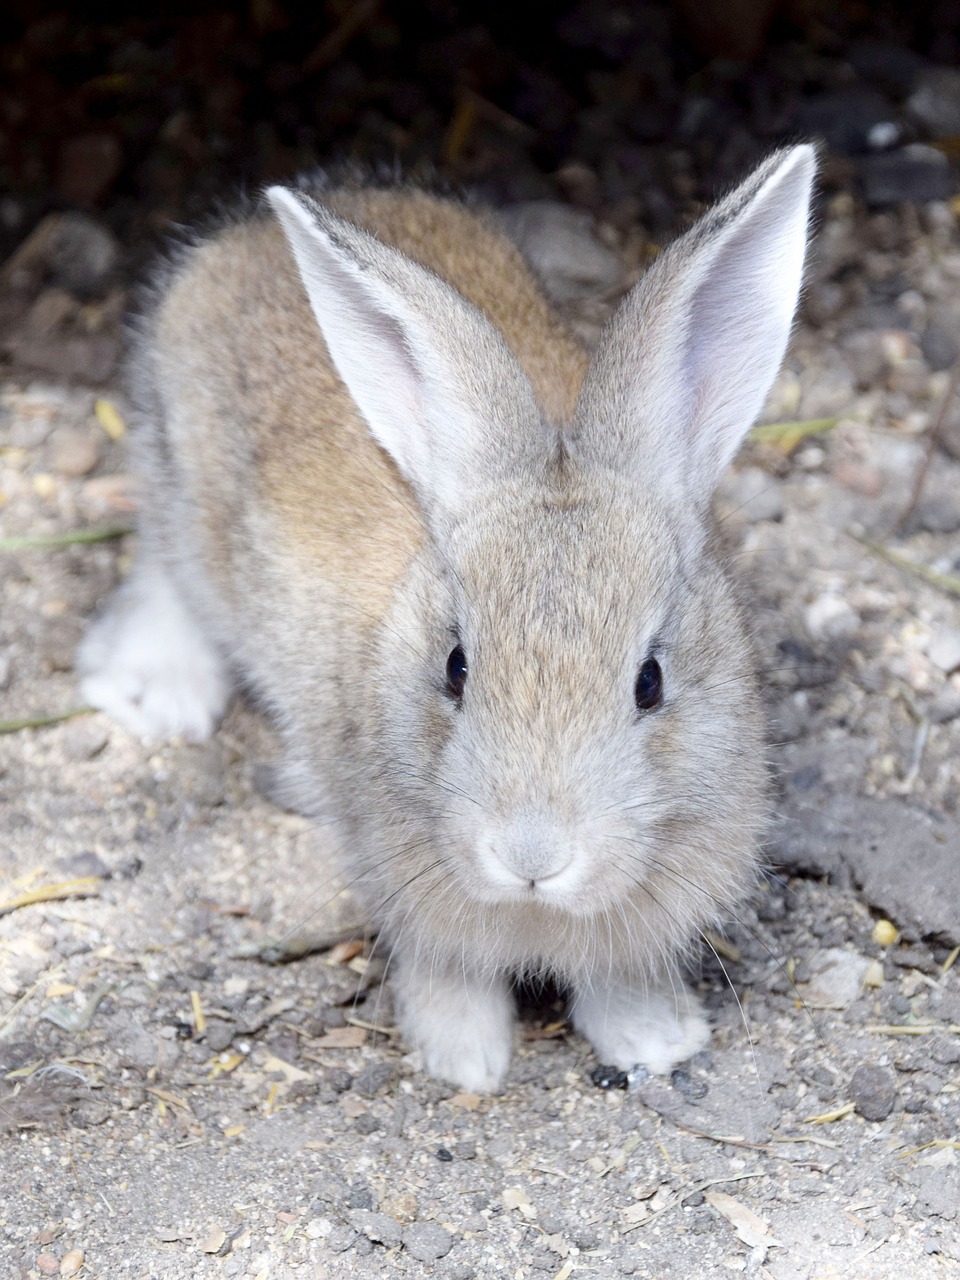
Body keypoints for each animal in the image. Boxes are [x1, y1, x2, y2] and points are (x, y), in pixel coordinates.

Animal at [79, 147, 819, 1090]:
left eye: (650, 682)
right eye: (456, 668)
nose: (532, 859)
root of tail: (240, 242)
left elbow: (616, 975)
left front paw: (655, 1040)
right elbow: (444, 968)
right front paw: (465, 1058)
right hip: (176, 470)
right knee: (163, 563)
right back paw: (158, 692)